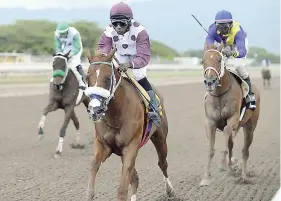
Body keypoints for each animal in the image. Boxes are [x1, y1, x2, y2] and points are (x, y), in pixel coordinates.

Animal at [84, 48, 174, 201]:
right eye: (86, 77)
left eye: (108, 78)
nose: (95, 110)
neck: (117, 114)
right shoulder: (105, 145)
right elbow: (93, 168)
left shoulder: (131, 146)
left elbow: (122, 190)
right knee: (135, 178)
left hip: (160, 138)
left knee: (162, 163)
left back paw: (170, 190)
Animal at [199, 43, 260, 186]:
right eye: (203, 61)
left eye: (219, 60)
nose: (210, 81)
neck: (220, 94)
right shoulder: (210, 122)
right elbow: (211, 150)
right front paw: (206, 178)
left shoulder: (233, 119)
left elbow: (226, 139)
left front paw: (222, 165)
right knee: (232, 145)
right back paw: (231, 170)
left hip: (250, 127)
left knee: (245, 151)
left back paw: (243, 176)